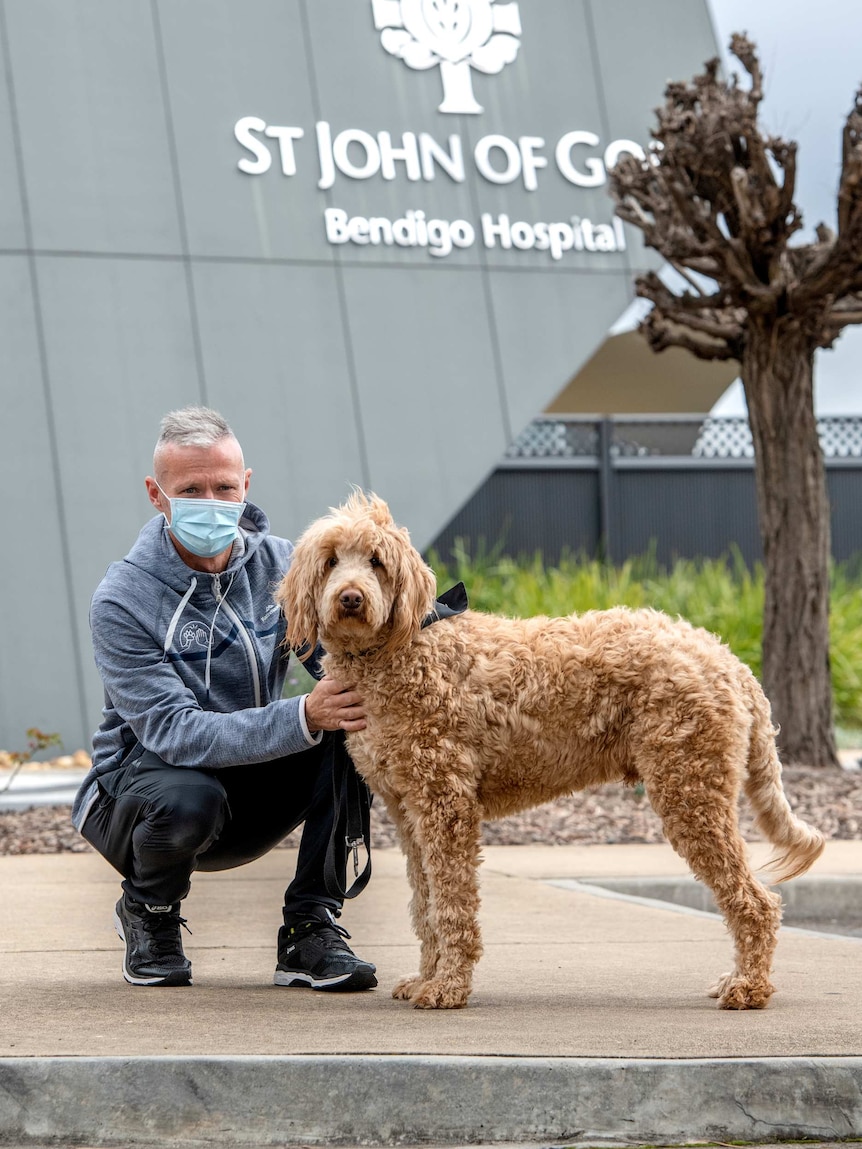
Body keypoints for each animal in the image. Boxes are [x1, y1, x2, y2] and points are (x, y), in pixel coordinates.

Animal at [280, 489, 827, 1011]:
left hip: (690, 790)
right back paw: (741, 980)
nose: (351, 598)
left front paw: (448, 987)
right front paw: (426, 979)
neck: (401, 651)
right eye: (331, 561)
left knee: (757, 902)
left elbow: (452, 902)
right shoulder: (410, 812)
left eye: (376, 561)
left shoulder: (445, 805)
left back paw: (749, 987)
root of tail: (728, 659)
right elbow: (426, 904)